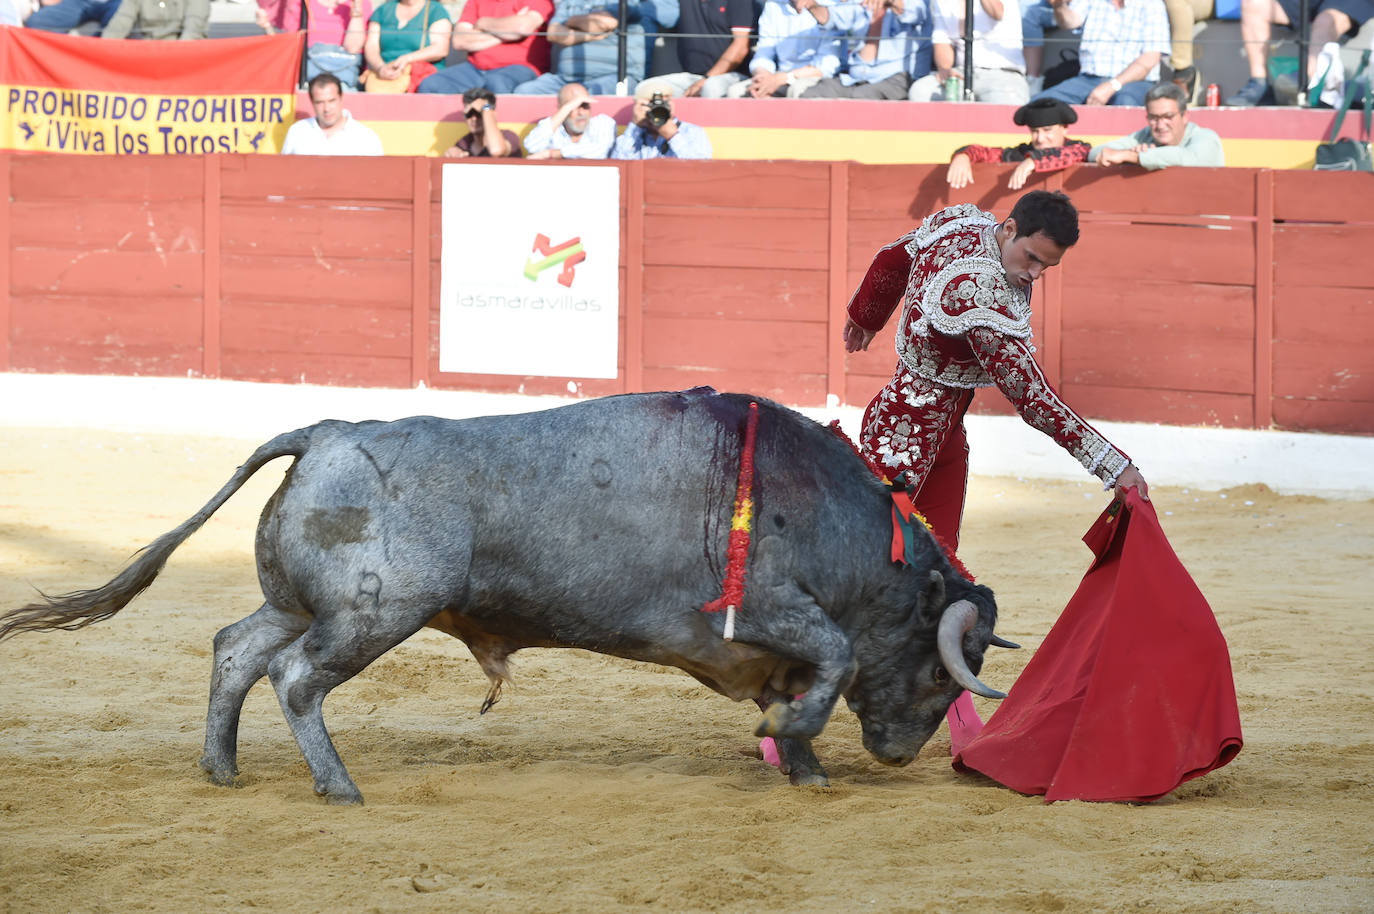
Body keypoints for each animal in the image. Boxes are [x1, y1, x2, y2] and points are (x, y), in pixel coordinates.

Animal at [0, 387, 1011, 802]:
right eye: (940, 673)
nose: (897, 756)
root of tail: (325, 430)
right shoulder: (764, 609)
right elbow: (833, 660)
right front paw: (790, 735)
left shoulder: (776, 638)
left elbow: (815, 676)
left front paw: (805, 767)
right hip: (375, 612)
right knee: (294, 679)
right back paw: (338, 786)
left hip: (302, 603)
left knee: (236, 650)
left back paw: (221, 767)